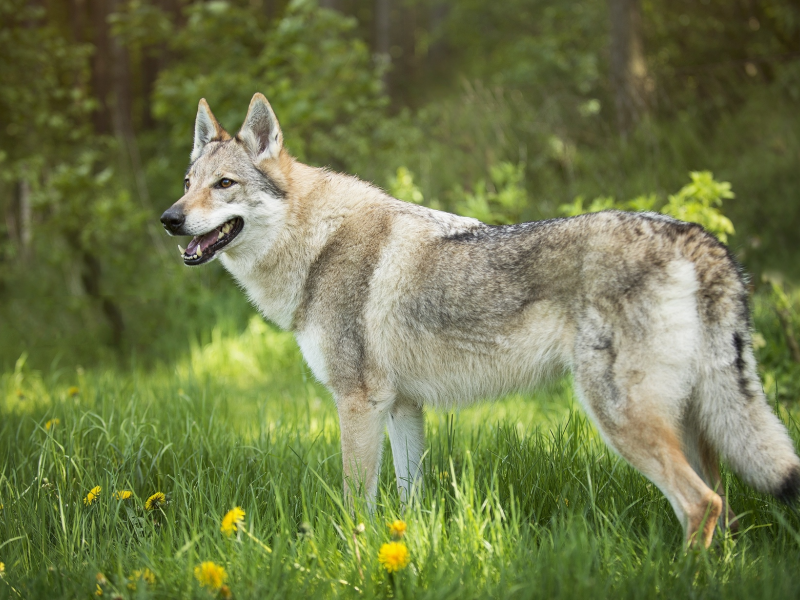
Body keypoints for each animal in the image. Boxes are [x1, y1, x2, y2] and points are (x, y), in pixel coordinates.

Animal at [161, 94, 800, 548]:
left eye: (225, 185)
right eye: (188, 184)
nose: (168, 219)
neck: (317, 245)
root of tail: (695, 237)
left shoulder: (357, 403)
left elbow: (355, 503)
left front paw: (353, 558)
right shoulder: (402, 407)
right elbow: (408, 499)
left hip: (623, 418)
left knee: (702, 505)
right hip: (692, 421)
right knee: (725, 507)